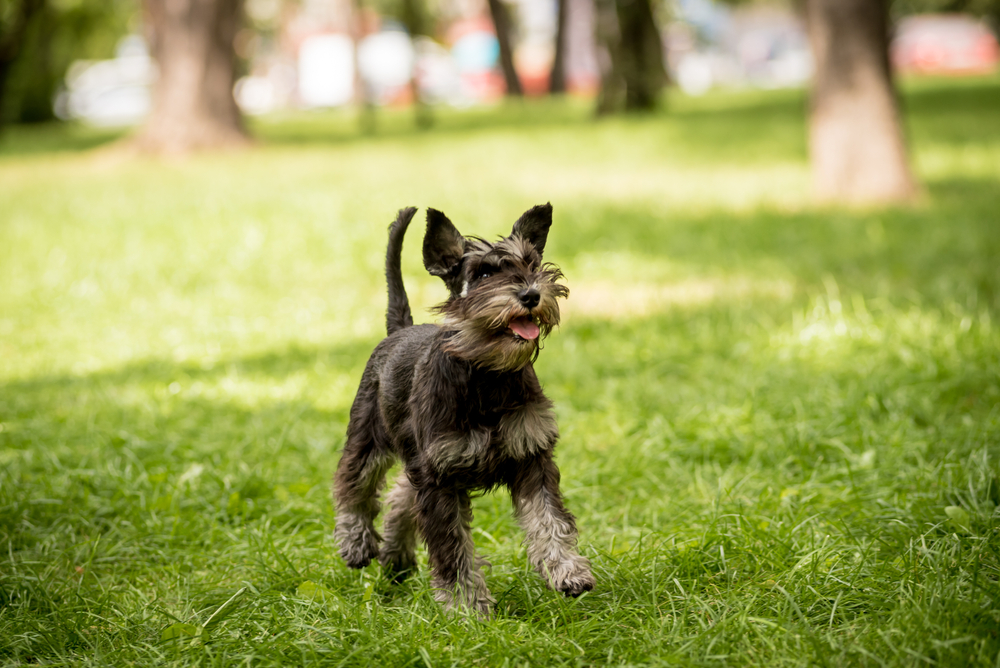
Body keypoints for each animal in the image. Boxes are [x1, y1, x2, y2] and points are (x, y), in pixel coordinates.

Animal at [332, 202, 592, 616]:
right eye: (483, 273)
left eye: (532, 263)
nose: (531, 294)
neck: (486, 372)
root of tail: (399, 329)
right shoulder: (438, 478)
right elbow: (451, 547)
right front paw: (466, 607)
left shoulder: (531, 457)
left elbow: (549, 520)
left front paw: (568, 571)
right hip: (368, 435)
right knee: (353, 483)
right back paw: (356, 543)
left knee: (400, 495)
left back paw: (397, 557)